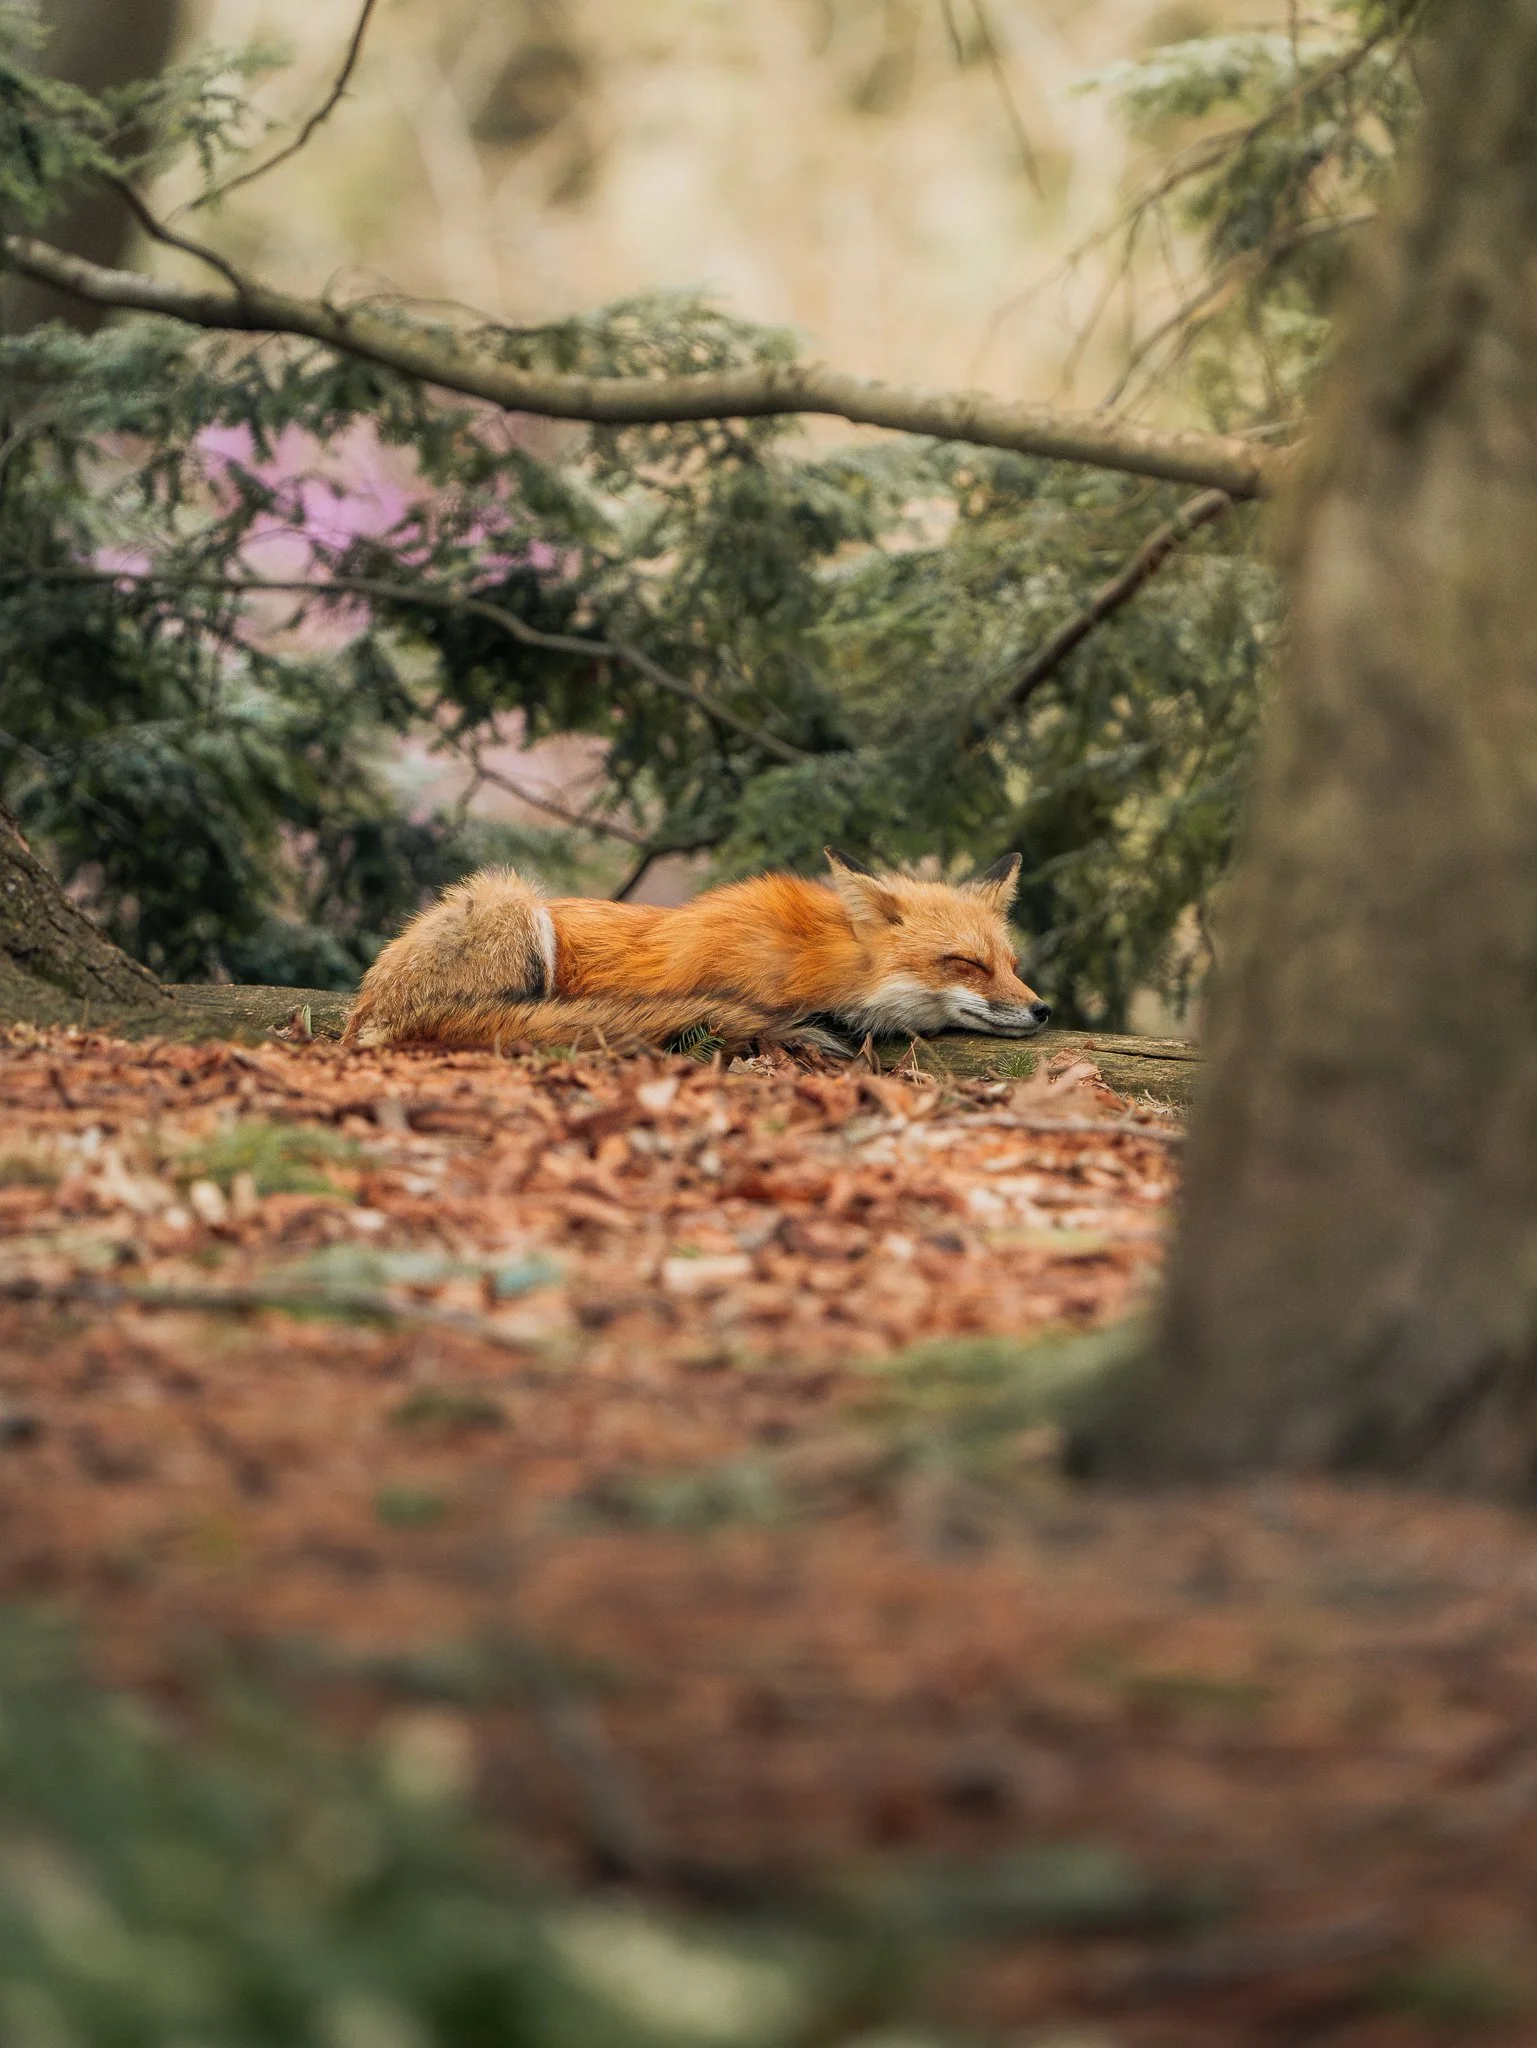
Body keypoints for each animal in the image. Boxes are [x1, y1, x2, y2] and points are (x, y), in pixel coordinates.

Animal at [340, 847, 1051, 1054]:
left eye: (1014, 967)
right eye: (965, 963)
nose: (1043, 1009)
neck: (808, 959)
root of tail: (369, 1005)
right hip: (514, 905)